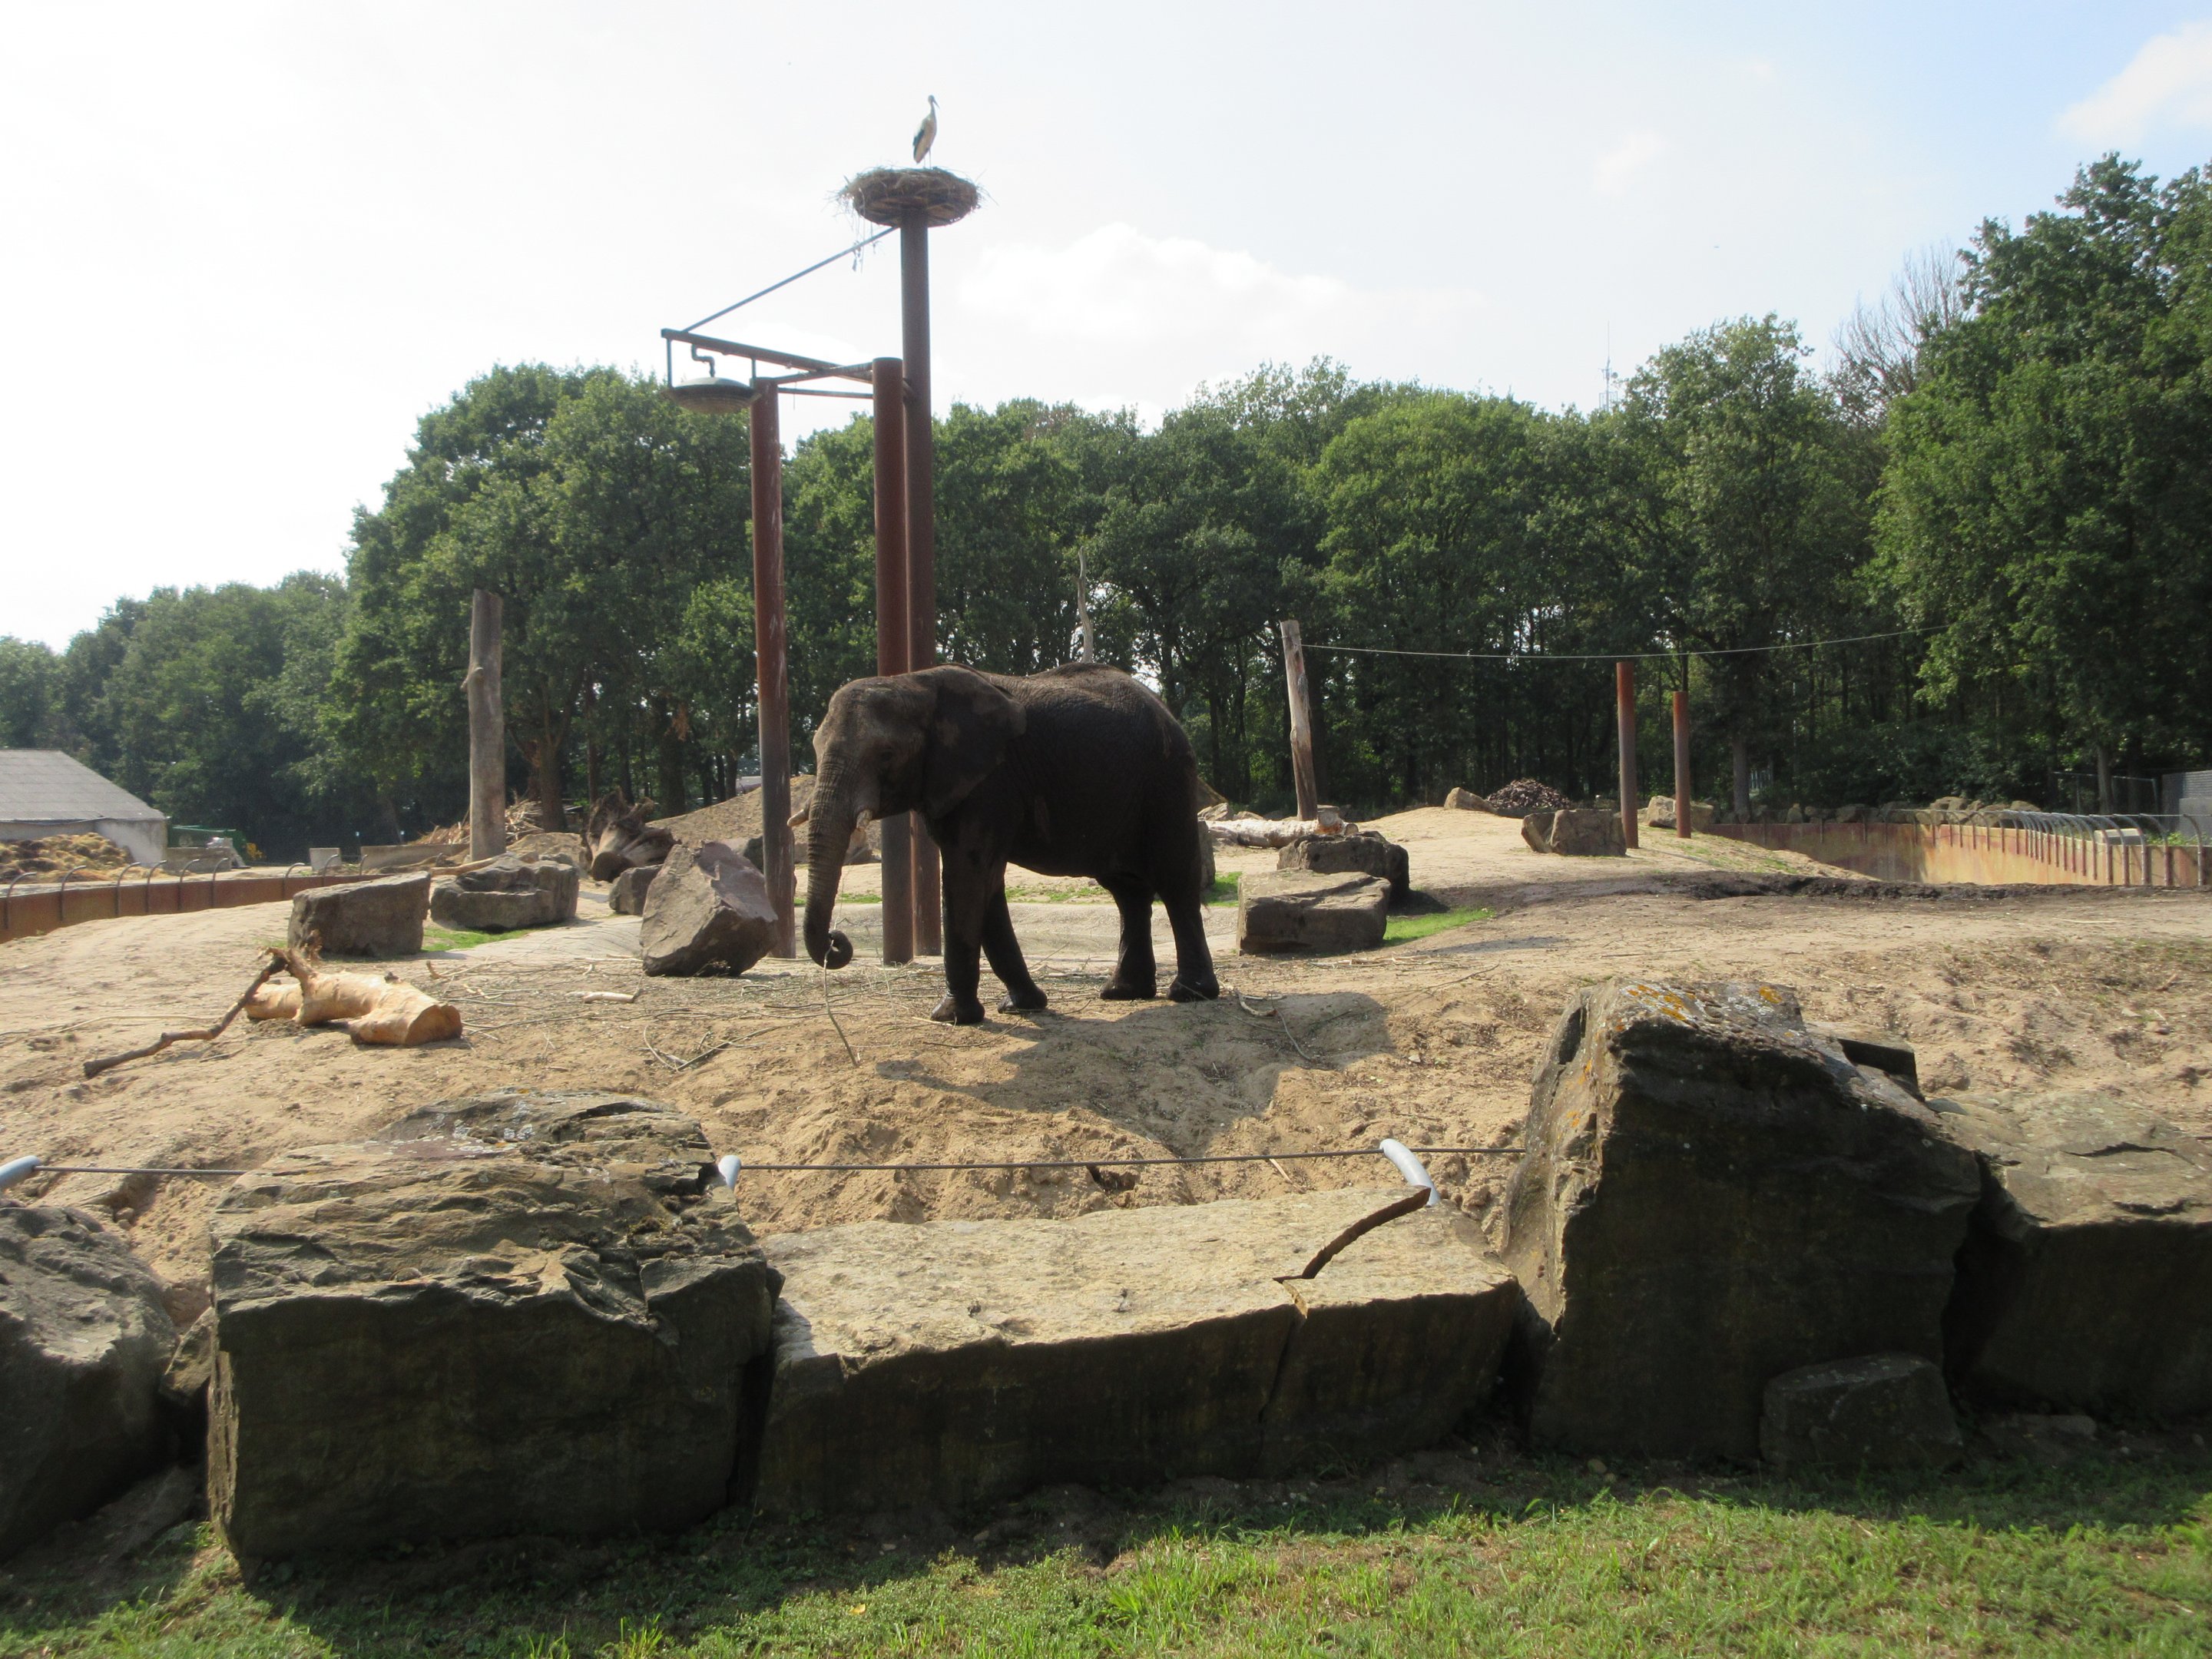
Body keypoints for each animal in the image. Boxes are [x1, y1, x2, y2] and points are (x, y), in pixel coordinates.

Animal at [802, 662, 1222, 1025]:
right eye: (815, 749)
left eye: (886, 755)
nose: (837, 941)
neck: (911, 683)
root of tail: (1166, 709)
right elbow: (984, 883)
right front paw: (1023, 1006)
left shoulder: (990, 783)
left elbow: (968, 875)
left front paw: (950, 1017)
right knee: (1126, 890)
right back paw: (1122, 993)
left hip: (1166, 779)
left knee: (1174, 880)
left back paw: (1189, 994)